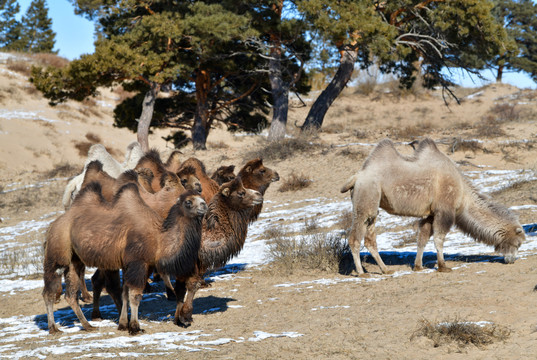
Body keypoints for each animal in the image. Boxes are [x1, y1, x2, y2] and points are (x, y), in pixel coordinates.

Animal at [40, 184, 205, 336]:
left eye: (200, 197)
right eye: (188, 202)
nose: (204, 205)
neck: (159, 240)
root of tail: (53, 225)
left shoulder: (130, 265)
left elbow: (125, 292)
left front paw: (123, 324)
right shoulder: (138, 263)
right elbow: (135, 296)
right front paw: (135, 327)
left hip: (75, 261)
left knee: (71, 295)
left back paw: (88, 325)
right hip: (57, 252)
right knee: (48, 291)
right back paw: (54, 328)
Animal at [340, 139, 524, 274]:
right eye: (518, 244)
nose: (512, 260)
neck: (463, 194)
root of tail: (356, 177)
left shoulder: (430, 213)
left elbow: (423, 237)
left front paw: (418, 266)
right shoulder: (445, 210)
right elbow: (439, 238)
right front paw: (443, 266)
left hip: (371, 201)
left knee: (370, 238)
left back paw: (386, 270)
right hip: (367, 194)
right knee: (355, 236)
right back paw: (362, 272)